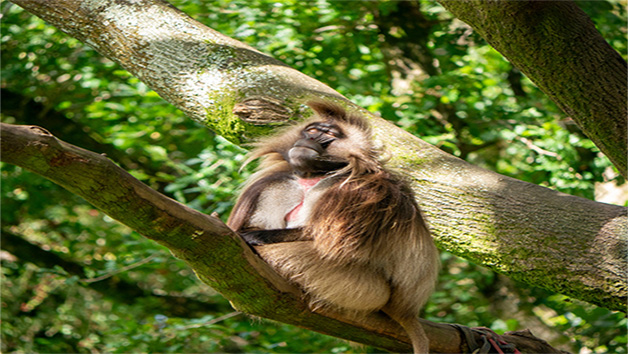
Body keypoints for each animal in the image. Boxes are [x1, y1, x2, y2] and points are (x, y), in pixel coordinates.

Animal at [228, 101, 440, 352]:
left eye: (329, 134)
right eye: (311, 130)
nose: (309, 139)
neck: (313, 176)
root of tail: (406, 310)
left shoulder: (359, 191)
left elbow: (328, 243)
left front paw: (255, 238)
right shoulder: (279, 182)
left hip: (362, 289)